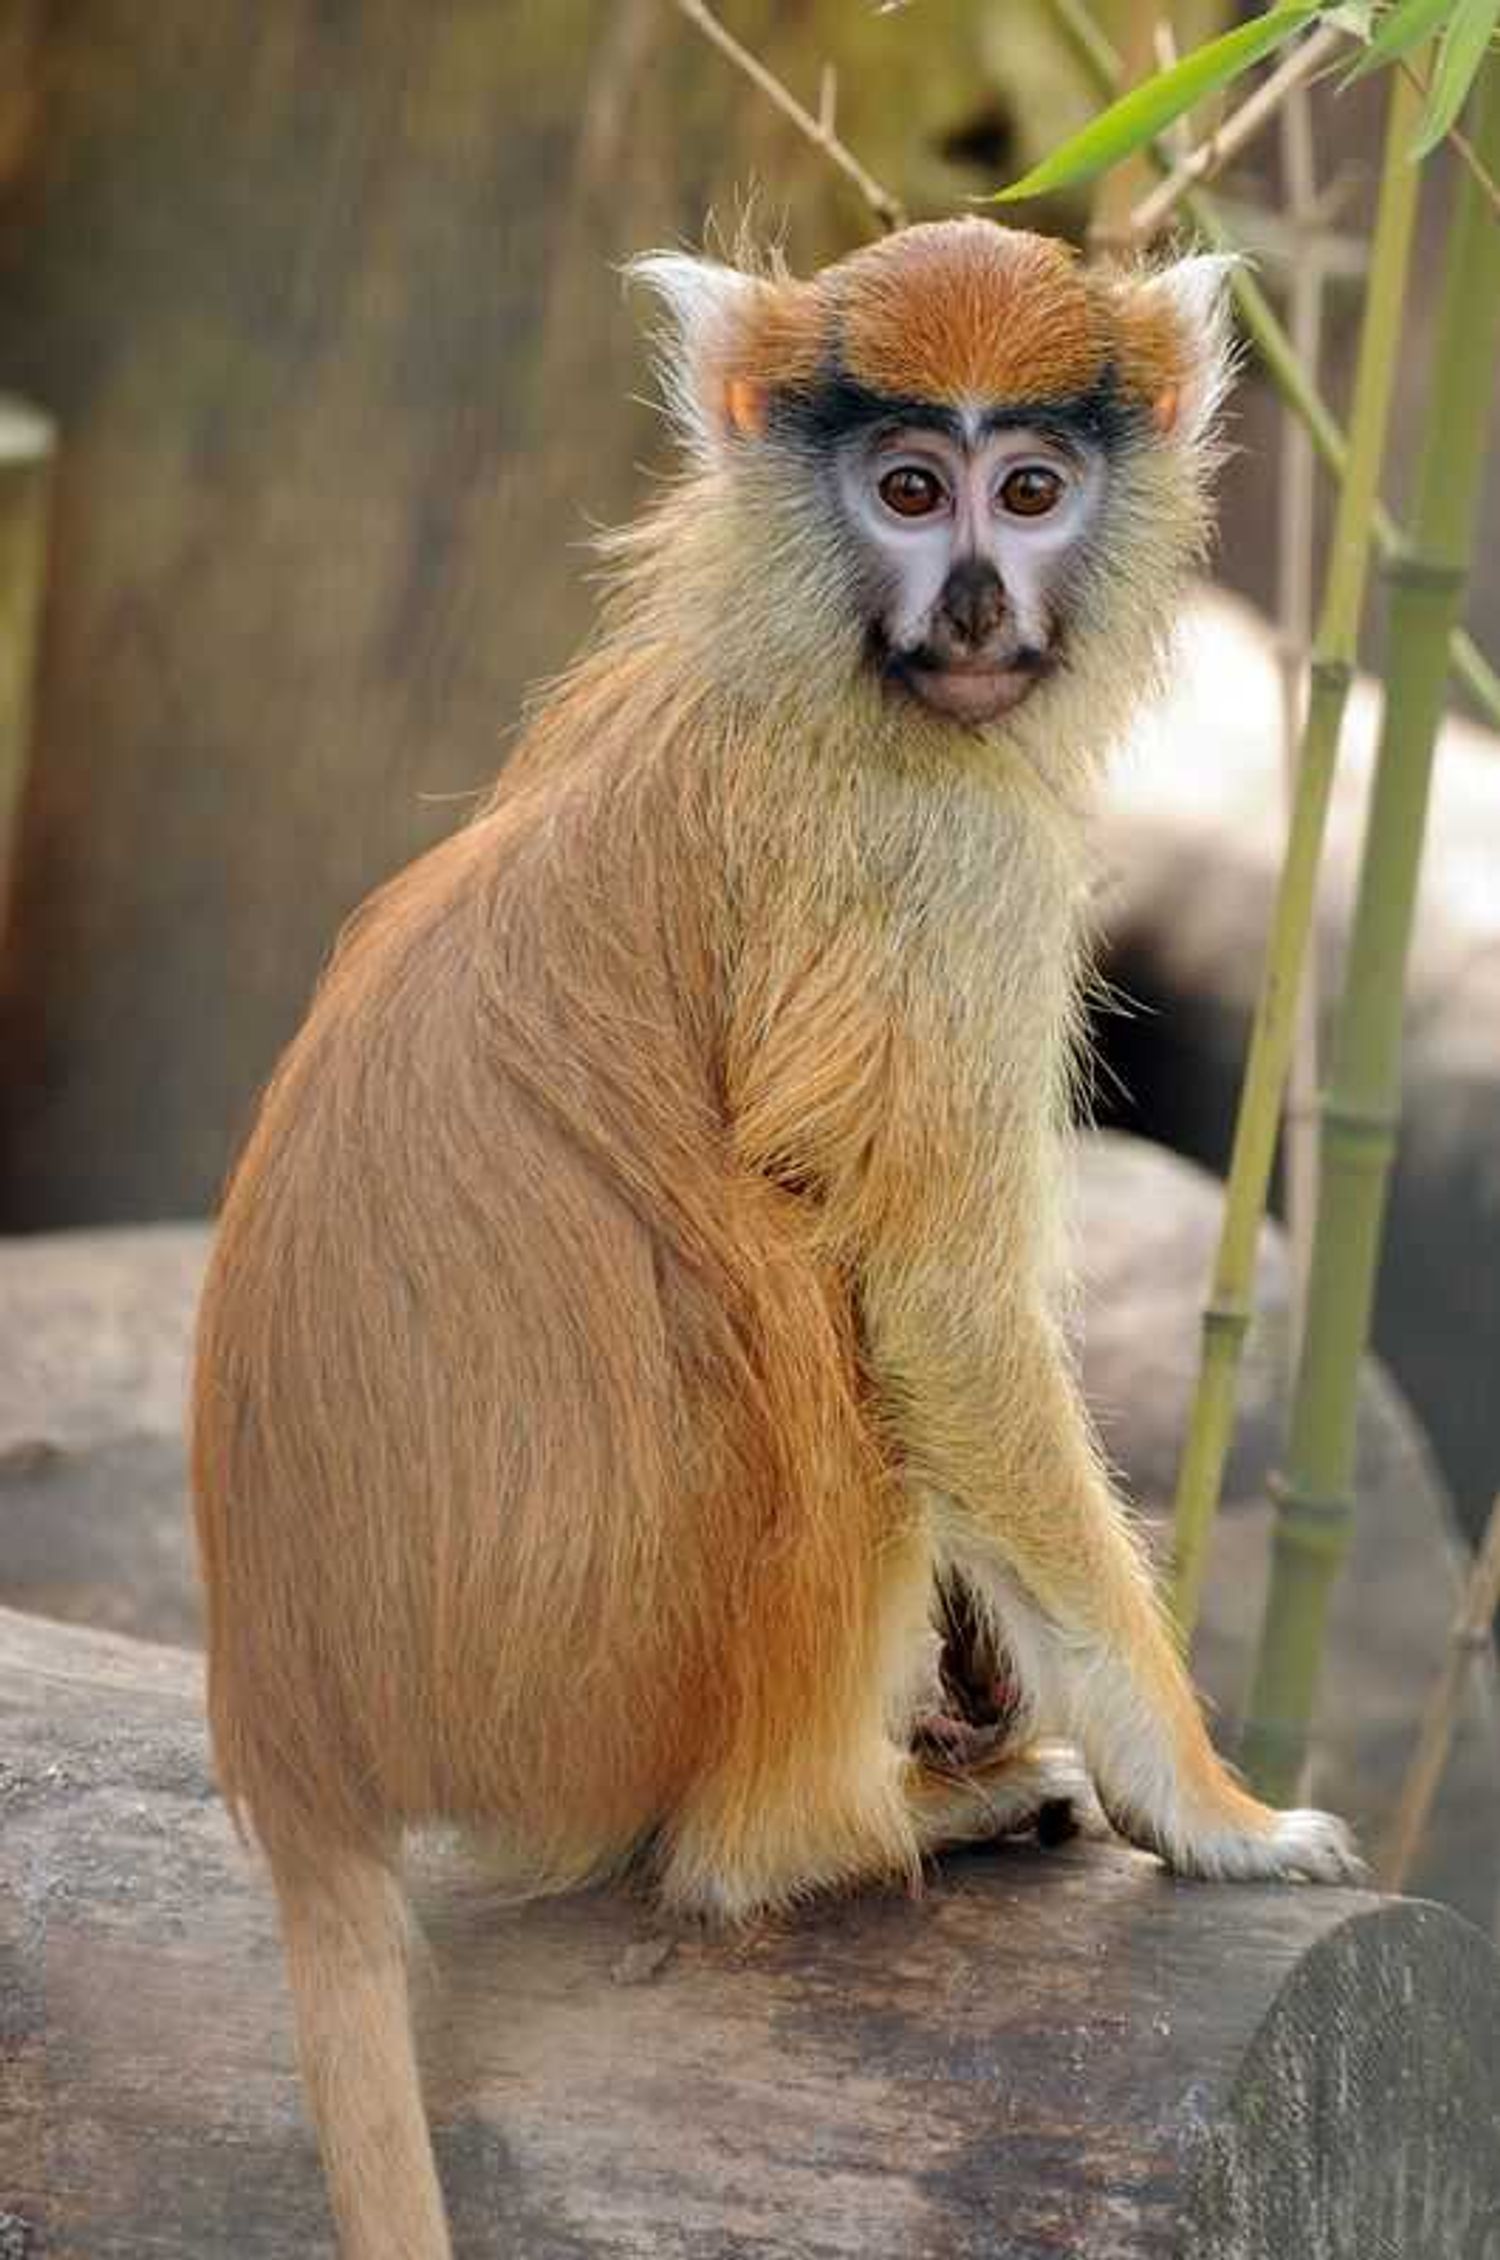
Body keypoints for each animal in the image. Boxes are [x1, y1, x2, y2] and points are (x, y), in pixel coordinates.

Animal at [193, 215, 1364, 2260]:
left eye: (1028, 489)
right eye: (906, 490)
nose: (971, 606)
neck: (802, 662)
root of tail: (299, 1744)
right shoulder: (939, 871)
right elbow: (939, 1315)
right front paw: (1213, 1810)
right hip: (582, 1685)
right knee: (796, 1296)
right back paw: (798, 1839)